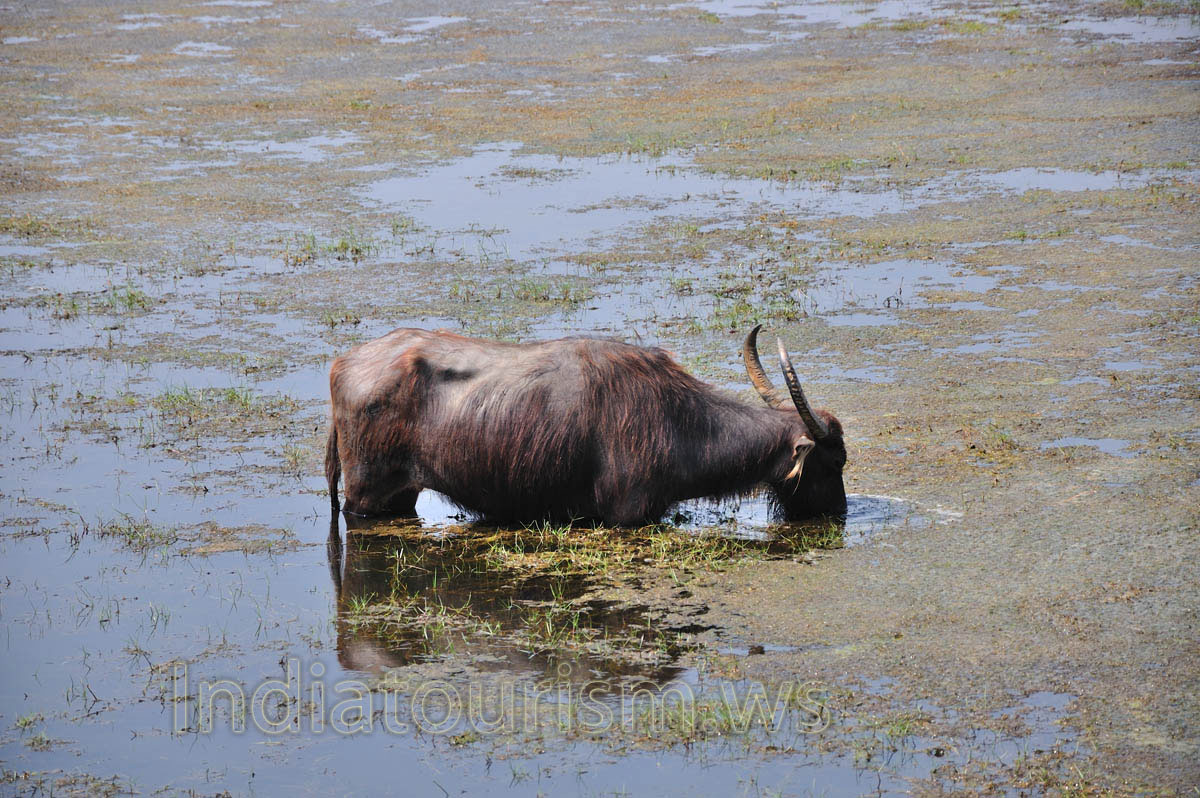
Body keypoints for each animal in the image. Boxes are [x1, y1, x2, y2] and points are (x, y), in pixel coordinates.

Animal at [325, 325, 846, 526]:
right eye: (832, 463)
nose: (840, 514)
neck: (679, 421)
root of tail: (344, 363)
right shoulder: (628, 515)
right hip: (367, 496)